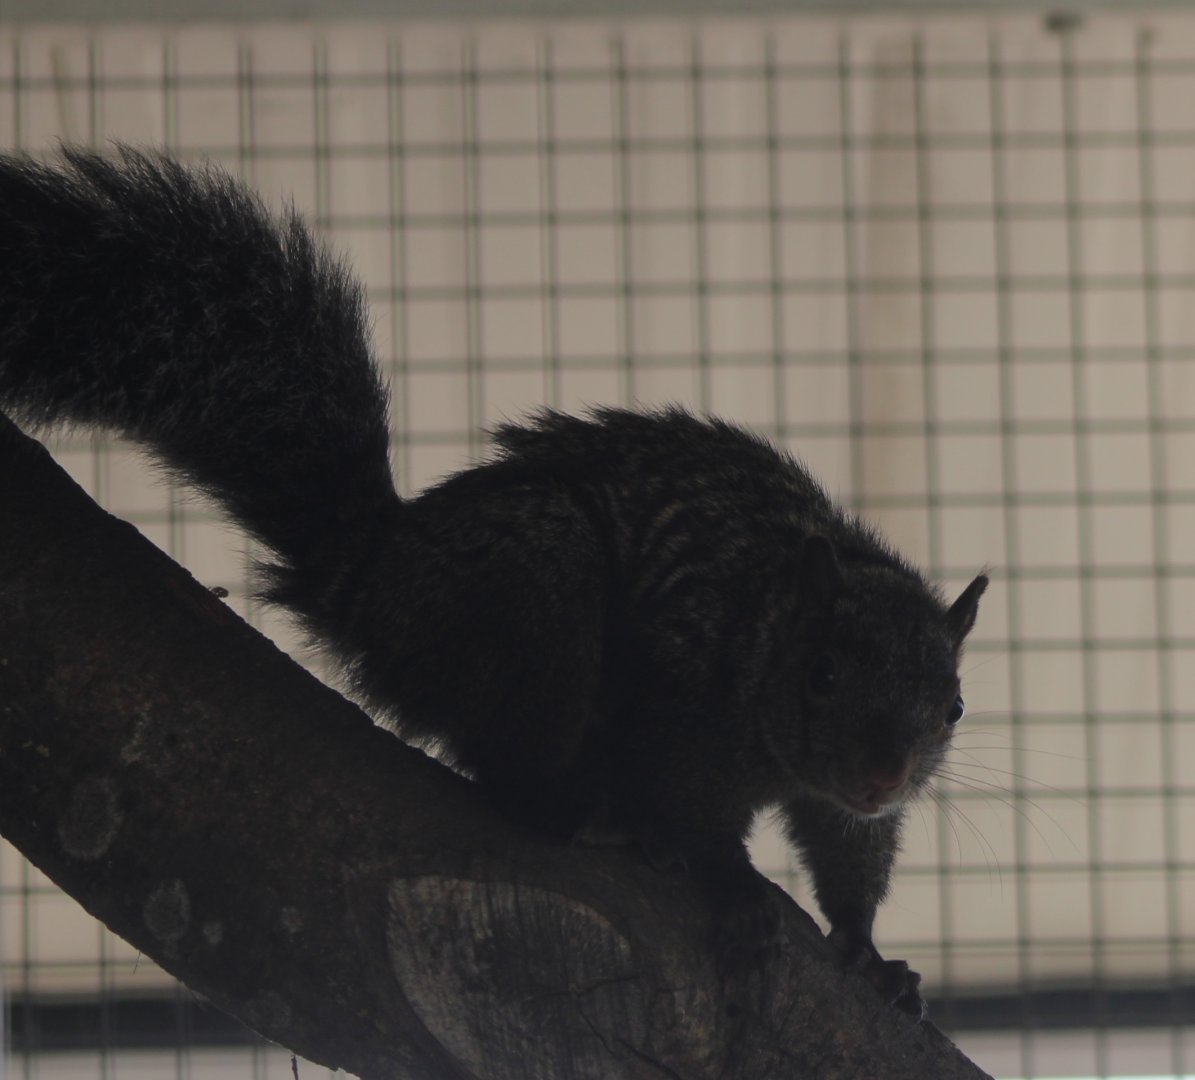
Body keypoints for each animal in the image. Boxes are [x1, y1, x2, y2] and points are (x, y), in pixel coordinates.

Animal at [0, 145, 987, 1018]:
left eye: (952, 707)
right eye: (821, 674)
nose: (883, 775)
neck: (765, 621)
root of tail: (374, 579)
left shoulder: (842, 804)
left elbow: (851, 854)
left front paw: (867, 948)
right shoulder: (684, 702)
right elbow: (688, 803)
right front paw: (734, 885)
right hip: (536, 593)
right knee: (513, 769)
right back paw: (589, 817)